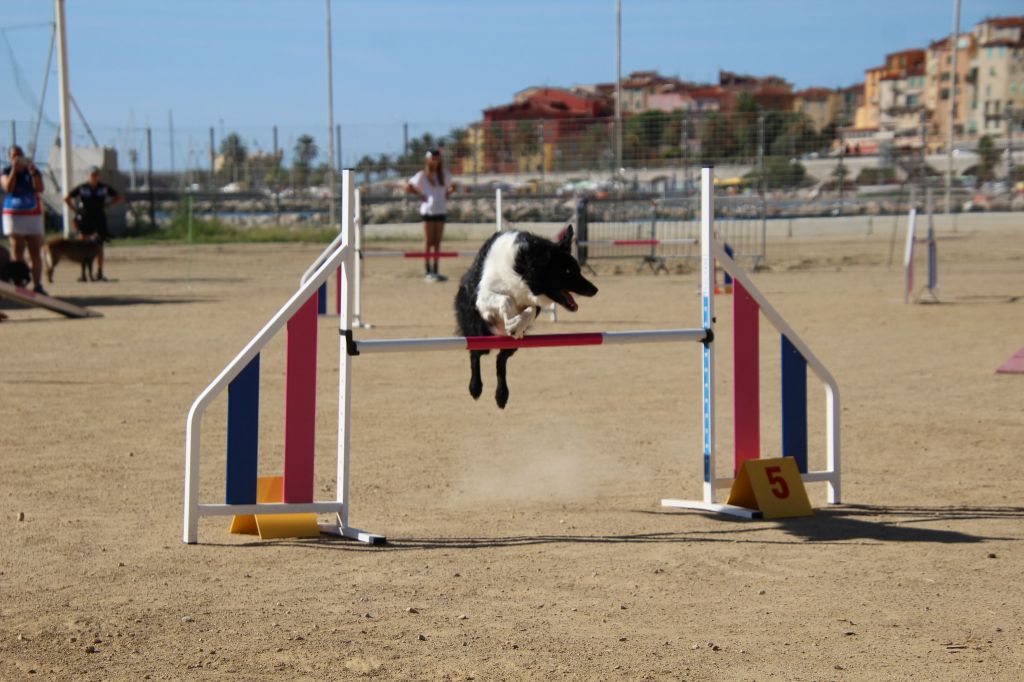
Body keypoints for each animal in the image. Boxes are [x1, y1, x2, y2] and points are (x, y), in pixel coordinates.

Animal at [454, 227, 598, 409]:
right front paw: (511, 320)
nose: (595, 289)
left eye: (577, 269)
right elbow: (506, 299)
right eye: (567, 271)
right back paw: (475, 387)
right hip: (478, 332)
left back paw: (502, 395)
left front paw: (516, 325)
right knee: (475, 354)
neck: (520, 271)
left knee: (501, 360)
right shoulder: (482, 296)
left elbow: (530, 310)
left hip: (511, 344)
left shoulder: (532, 302)